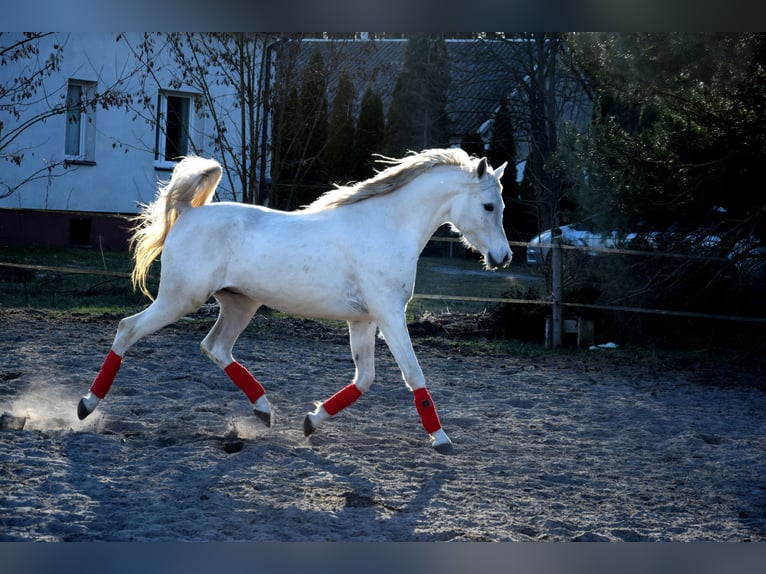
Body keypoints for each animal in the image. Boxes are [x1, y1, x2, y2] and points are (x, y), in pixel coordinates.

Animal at [77, 148, 511, 453]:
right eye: (489, 206)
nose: (503, 257)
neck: (386, 227)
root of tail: (188, 212)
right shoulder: (390, 315)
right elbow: (413, 374)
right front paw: (441, 440)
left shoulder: (365, 320)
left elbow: (364, 379)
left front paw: (310, 422)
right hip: (180, 298)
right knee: (128, 329)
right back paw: (85, 405)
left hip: (240, 303)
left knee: (215, 346)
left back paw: (264, 411)